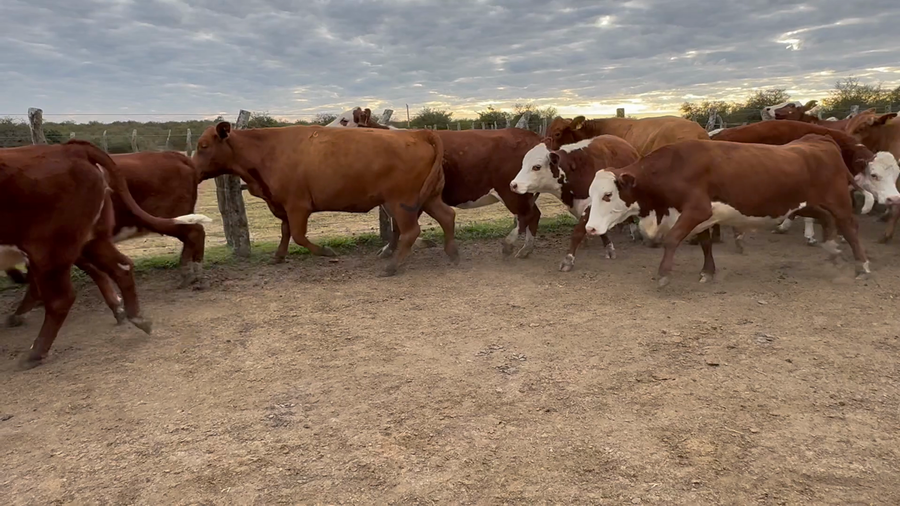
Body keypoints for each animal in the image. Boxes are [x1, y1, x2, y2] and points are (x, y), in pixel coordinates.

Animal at [1, 140, 205, 368]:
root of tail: (71, 148)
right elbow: (97, 274)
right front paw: (118, 308)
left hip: (51, 247)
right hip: (90, 241)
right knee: (125, 265)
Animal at [191, 122, 457, 276]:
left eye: (203, 145)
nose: (193, 169)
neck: (268, 150)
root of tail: (418, 133)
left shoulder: (297, 206)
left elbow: (298, 235)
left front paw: (326, 251)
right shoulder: (282, 205)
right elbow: (285, 231)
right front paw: (278, 256)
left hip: (401, 203)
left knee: (411, 232)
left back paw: (391, 267)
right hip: (427, 199)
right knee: (447, 216)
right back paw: (451, 252)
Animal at [509, 135, 640, 271]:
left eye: (536, 167)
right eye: (523, 163)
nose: (513, 185)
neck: (575, 171)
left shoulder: (591, 204)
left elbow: (578, 232)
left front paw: (568, 260)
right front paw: (609, 248)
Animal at [582, 134, 889, 288]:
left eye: (608, 195)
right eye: (591, 194)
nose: (590, 228)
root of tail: (821, 141)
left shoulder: (697, 209)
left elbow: (673, 240)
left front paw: (664, 274)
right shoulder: (704, 216)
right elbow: (705, 243)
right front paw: (708, 272)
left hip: (838, 202)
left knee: (850, 228)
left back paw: (861, 266)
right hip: (805, 205)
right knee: (826, 221)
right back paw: (833, 252)